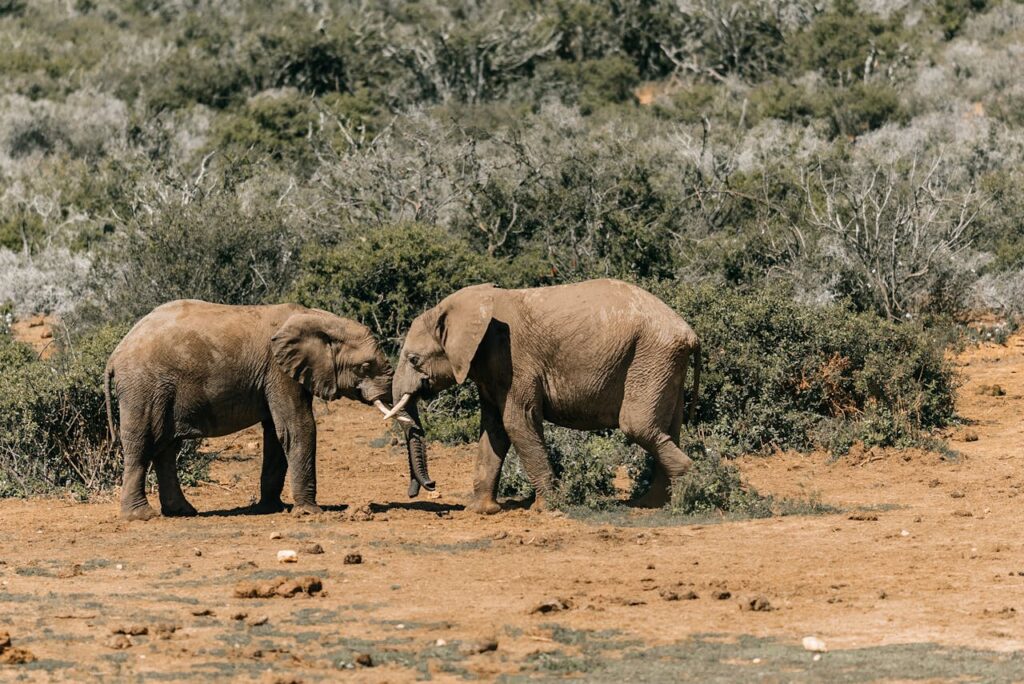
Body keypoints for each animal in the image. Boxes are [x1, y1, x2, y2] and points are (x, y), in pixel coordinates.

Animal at [101, 298, 409, 518]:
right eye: (365, 366)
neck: (319, 318)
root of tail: (115, 353)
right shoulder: (279, 372)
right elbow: (298, 427)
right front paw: (310, 512)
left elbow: (276, 433)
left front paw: (272, 508)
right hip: (144, 385)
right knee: (144, 442)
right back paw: (141, 516)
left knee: (166, 447)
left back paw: (182, 512)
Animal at [385, 278, 704, 511]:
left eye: (413, 359)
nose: (429, 487)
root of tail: (691, 333)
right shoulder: (489, 368)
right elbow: (494, 429)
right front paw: (480, 511)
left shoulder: (513, 360)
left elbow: (517, 422)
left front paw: (545, 509)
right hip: (664, 363)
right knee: (667, 430)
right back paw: (653, 504)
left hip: (651, 357)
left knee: (638, 426)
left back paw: (684, 496)